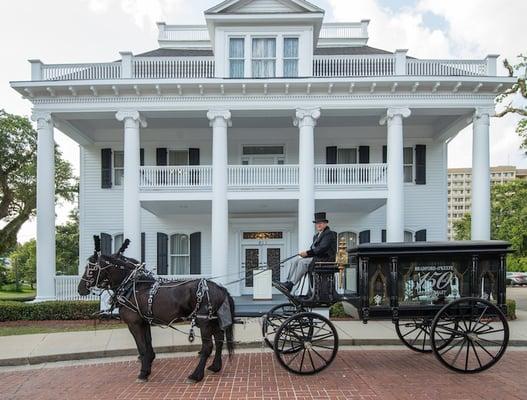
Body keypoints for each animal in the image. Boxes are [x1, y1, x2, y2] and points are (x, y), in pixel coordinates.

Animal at [78, 236, 235, 382]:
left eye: (91, 268)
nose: (80, 289)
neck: (131, 286)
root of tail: (219, 288)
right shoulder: (144, 321)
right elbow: (148, 344)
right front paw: (148, 365)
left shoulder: (134, 323)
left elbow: (141, 347)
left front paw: (143, 373)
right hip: (214, 320)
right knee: (219, 340)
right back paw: (215, 366)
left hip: (204, 322)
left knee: (207, 347)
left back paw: (196, 375)